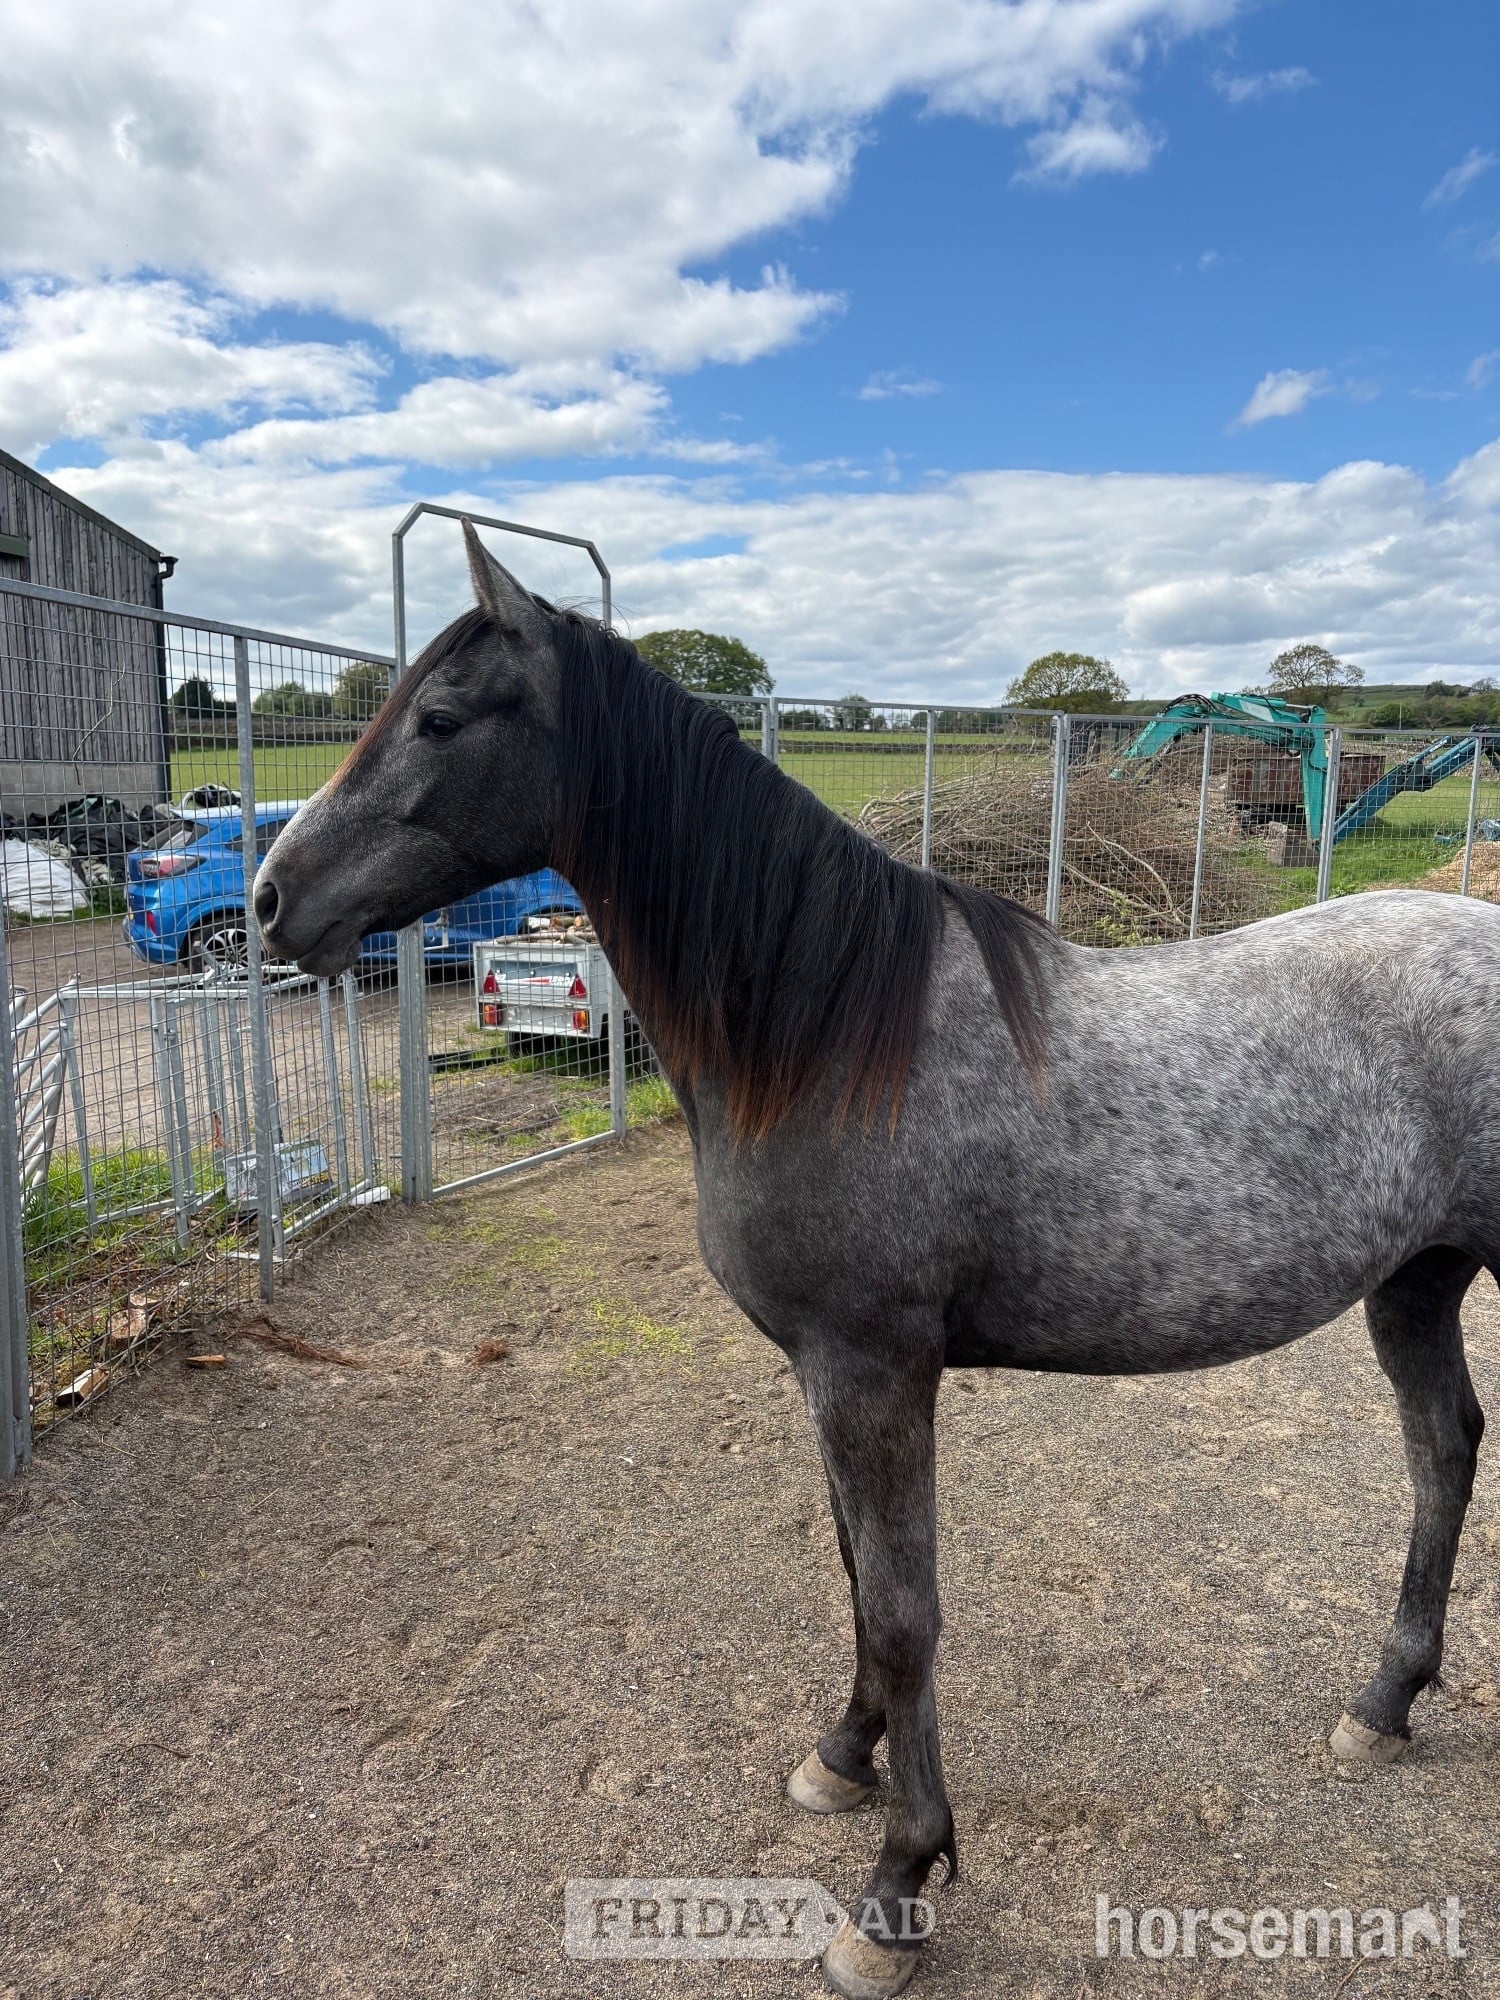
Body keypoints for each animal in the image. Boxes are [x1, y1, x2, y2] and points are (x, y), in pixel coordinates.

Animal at [254, 521, 1499, 1998]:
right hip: (1416, 1280)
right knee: (1443, 1448)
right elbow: (858, 1580)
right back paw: (1384, 1702)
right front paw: (842, 1759)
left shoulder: (875, 1372)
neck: (833, 1035)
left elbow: (906, 1611)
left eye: (440, 717)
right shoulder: (824, 1374)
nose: (271, 899)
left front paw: (898, 1884)